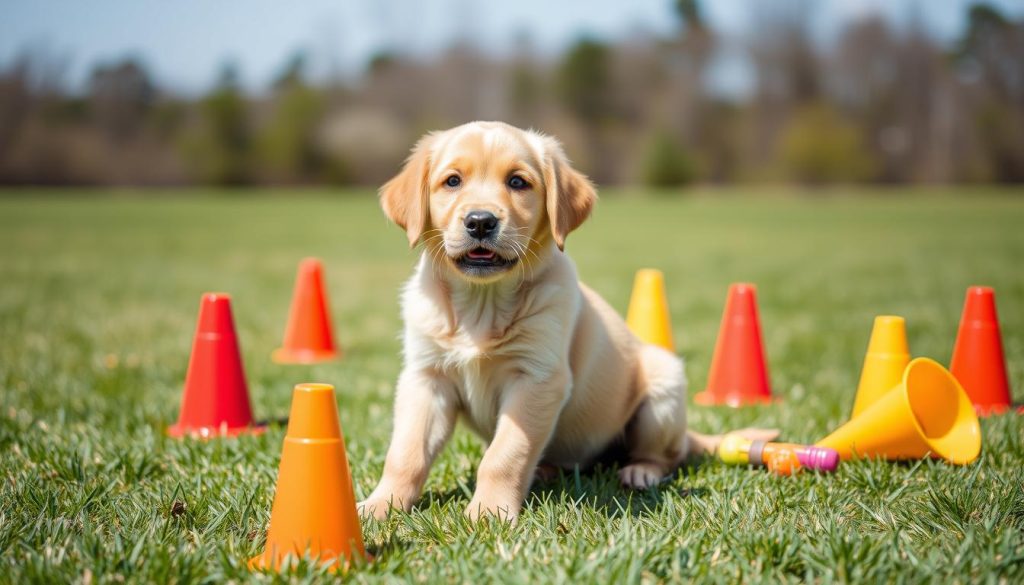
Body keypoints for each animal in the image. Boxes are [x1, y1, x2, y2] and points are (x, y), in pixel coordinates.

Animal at [360, 120, 770, 522]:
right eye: (452, 181)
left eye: (517, 182)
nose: (480, 221)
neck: (482, 302)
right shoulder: (427, 378)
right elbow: (405, 454)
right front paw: (382, 504)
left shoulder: (538, 379)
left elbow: (505, 454)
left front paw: (490, 510)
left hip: (663, 386)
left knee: (668, 455)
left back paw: (641, 471)